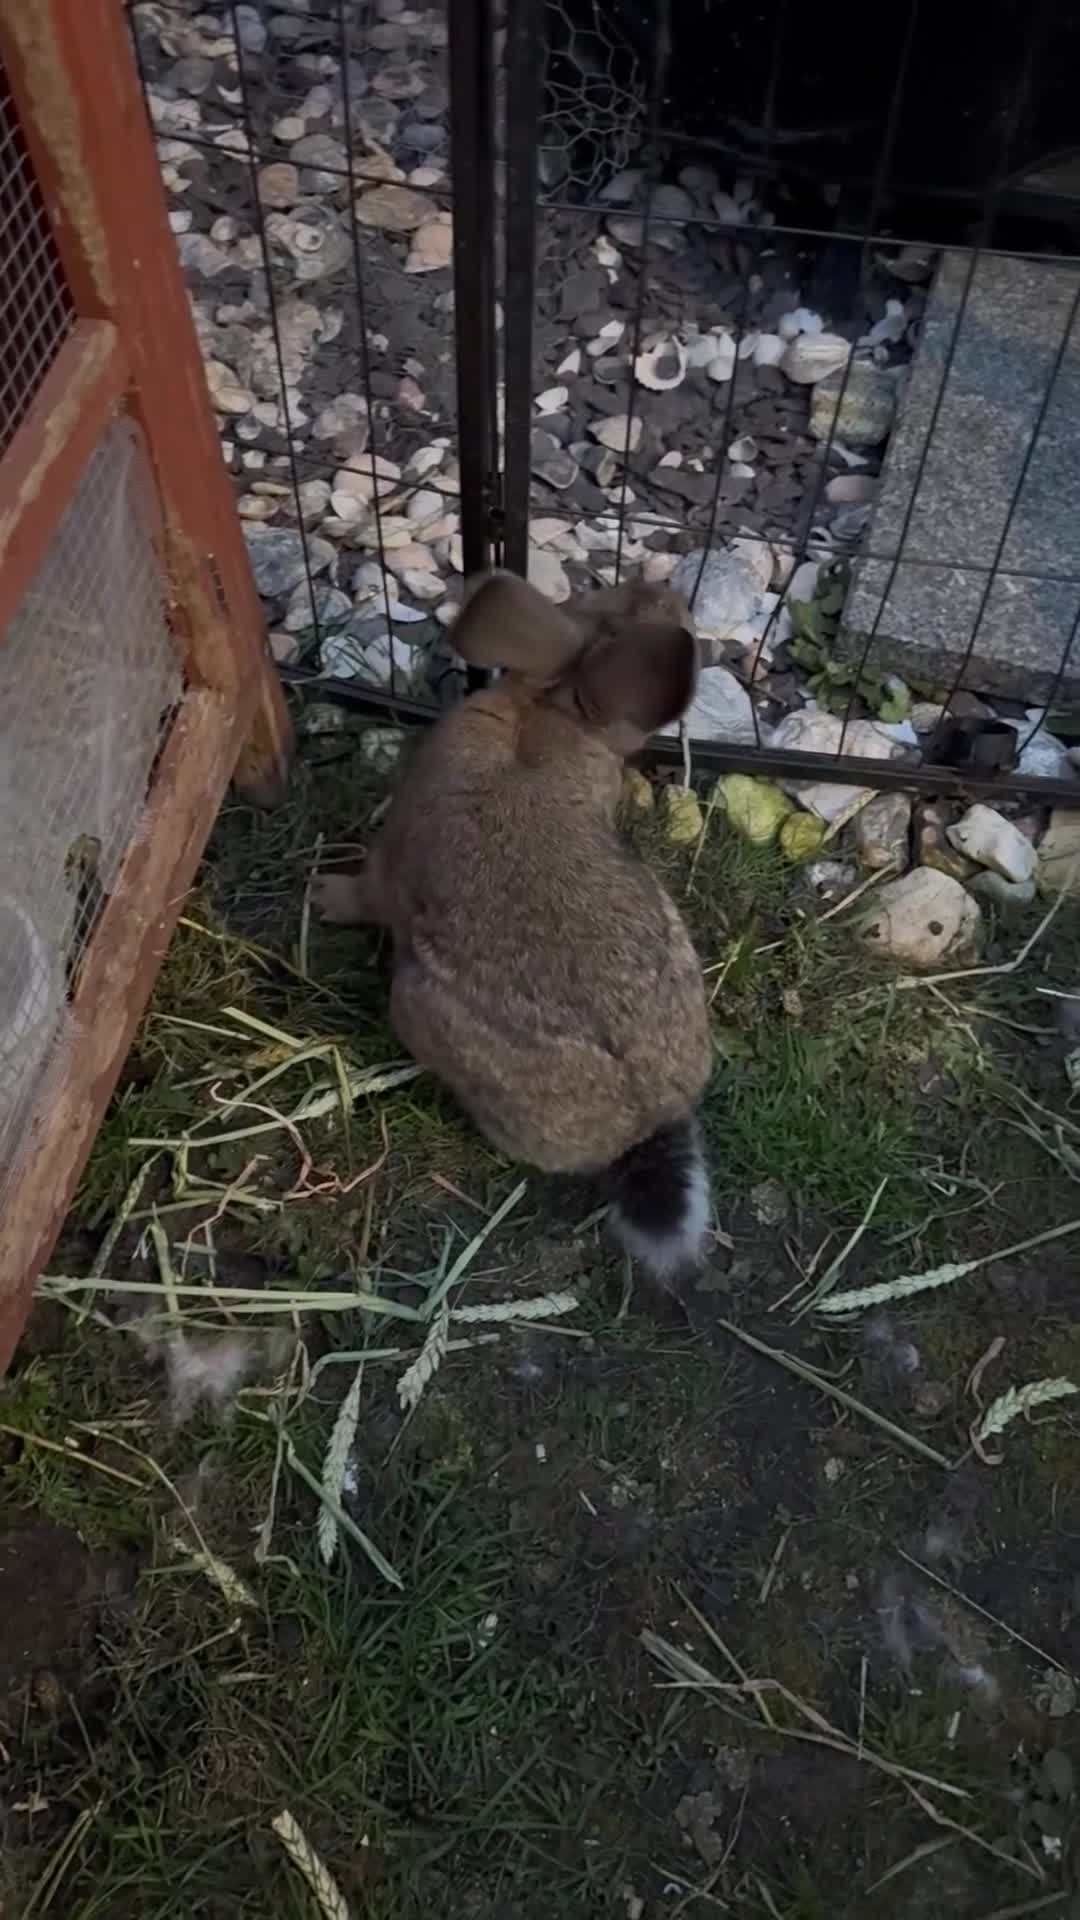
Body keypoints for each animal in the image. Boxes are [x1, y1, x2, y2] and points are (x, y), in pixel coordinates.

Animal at [311, 571, 713, 1286]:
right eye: (605, 598)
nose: (665, 589)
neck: (549, 713)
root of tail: (638, 1123)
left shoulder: (391, 863)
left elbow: (367, 892)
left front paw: (323, 895)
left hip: (417, 1008)